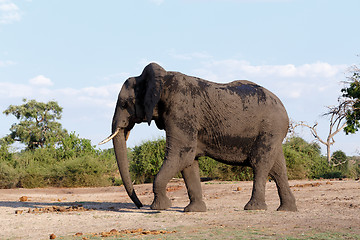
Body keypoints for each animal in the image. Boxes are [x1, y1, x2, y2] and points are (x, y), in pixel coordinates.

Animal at [100, 62, 296, 212]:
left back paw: (253, 208)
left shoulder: (181, 110)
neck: (162, 79)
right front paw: (194, 210)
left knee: (260, 163)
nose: (140, 205)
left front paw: (158, 207)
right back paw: (286, 209)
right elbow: (188, 161)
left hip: (270, 128)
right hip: (273, 132)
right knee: (278, 168)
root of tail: (283, 107)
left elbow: (181, 154)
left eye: (124, 104)